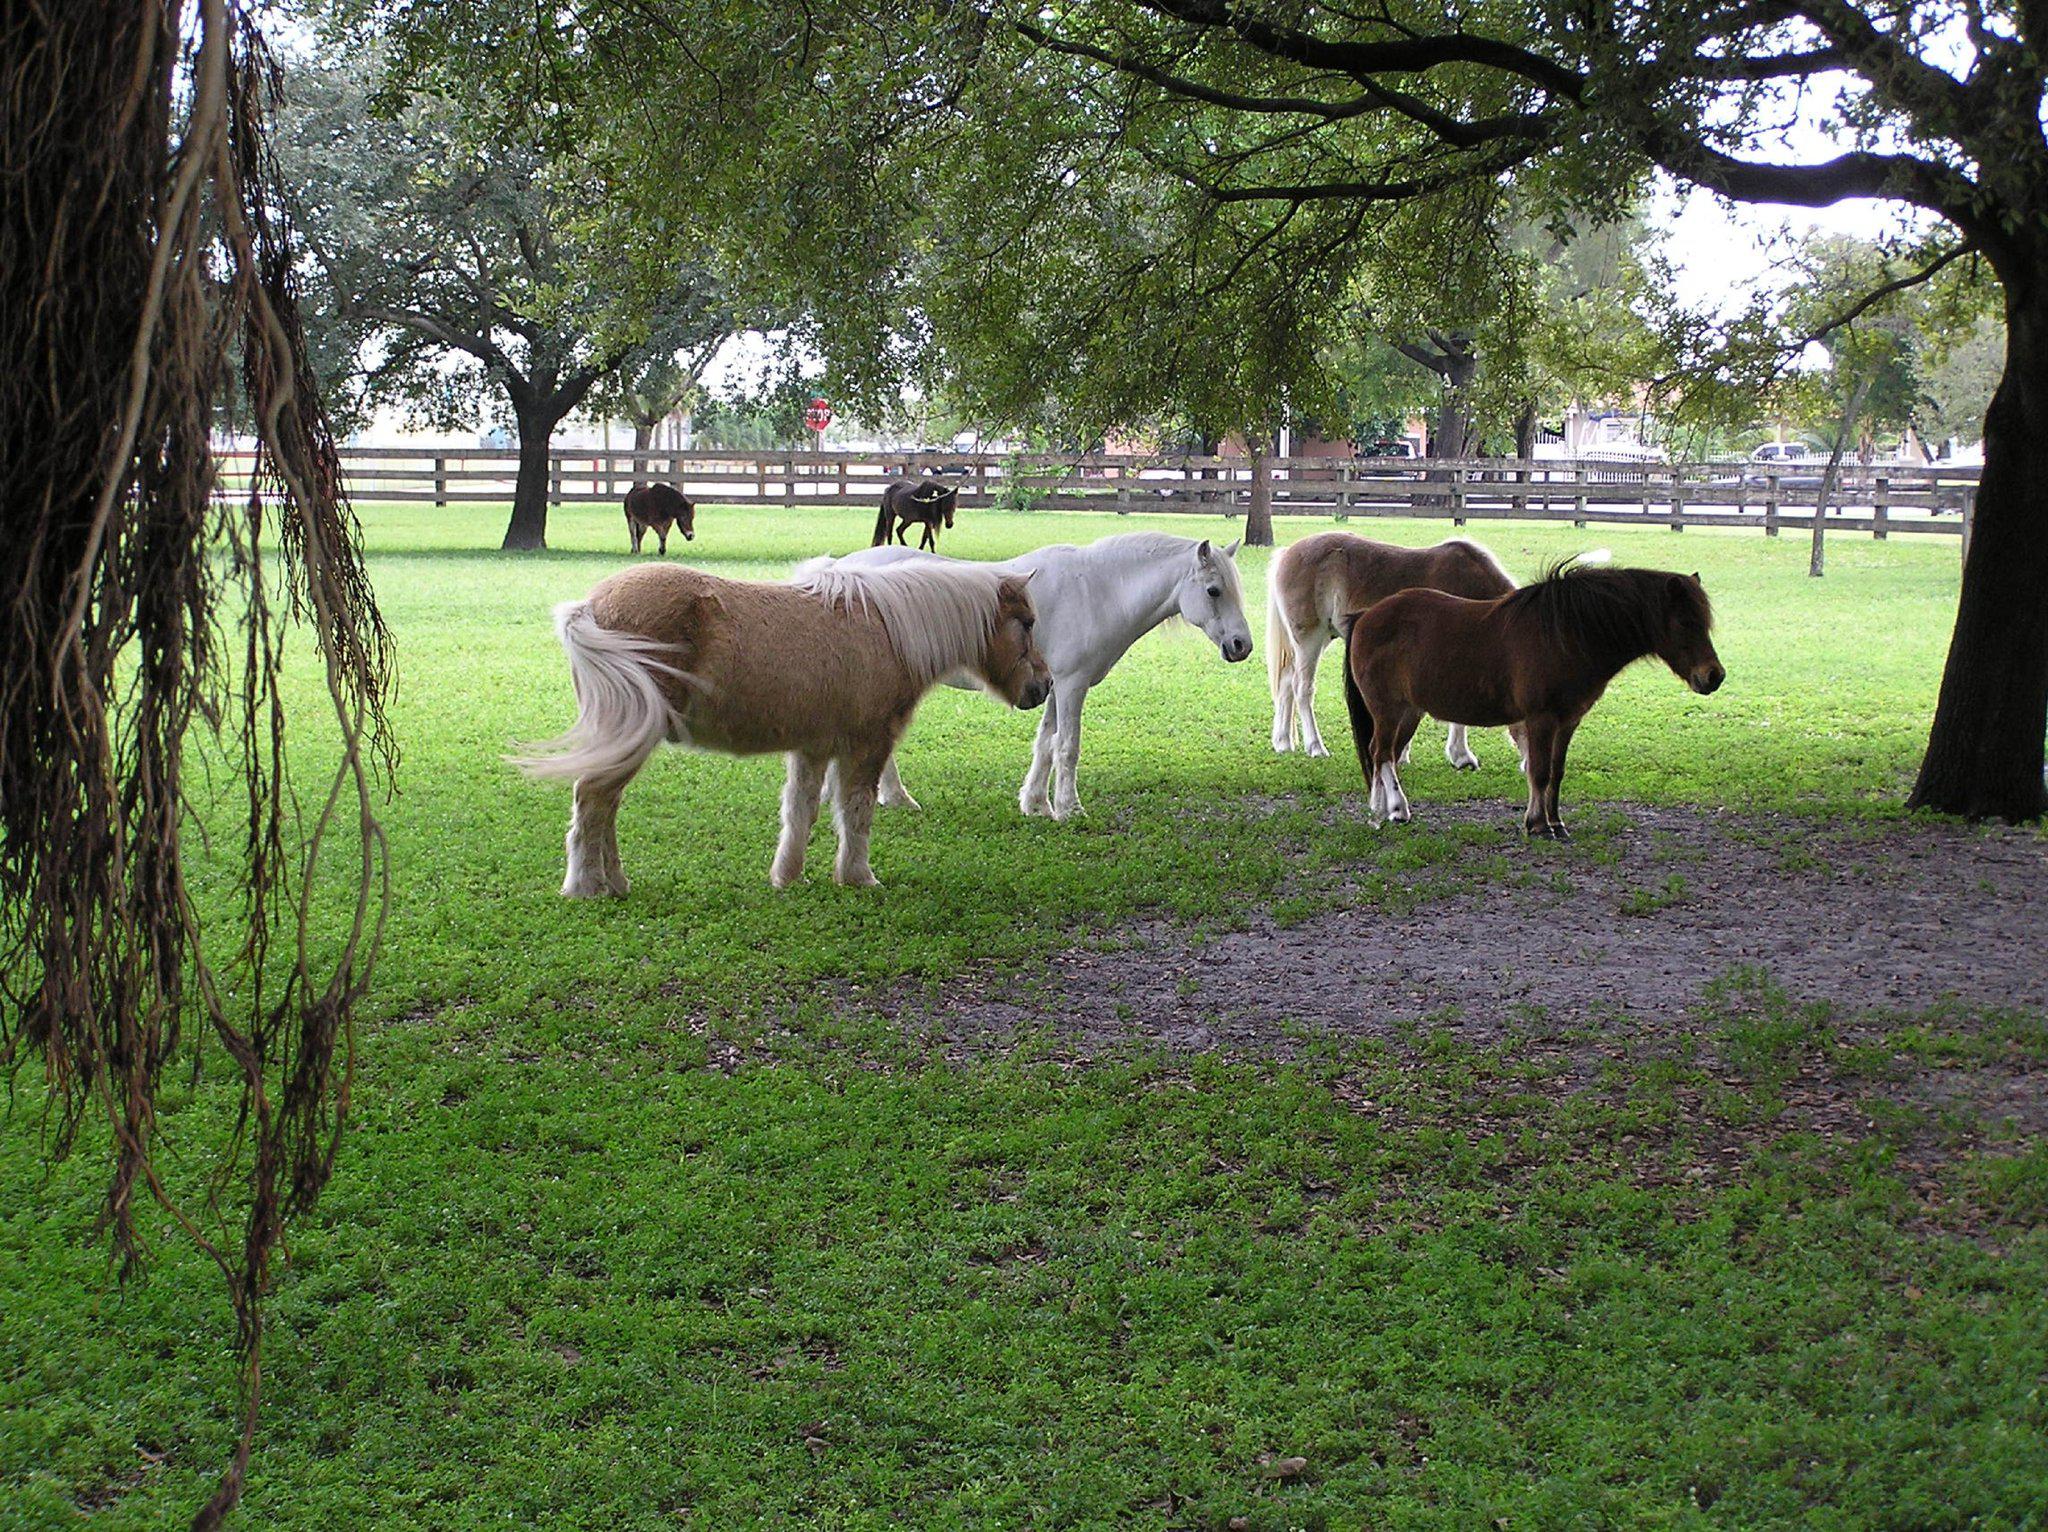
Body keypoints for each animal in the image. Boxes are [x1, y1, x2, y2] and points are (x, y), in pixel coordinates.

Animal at [512, 561, 1056, 897]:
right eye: (1027, 622)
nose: (1044, 686)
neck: (888, 630)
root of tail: (589, 608)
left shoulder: (812, 749)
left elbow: (801, 812)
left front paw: (788, 877)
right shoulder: (866, 747)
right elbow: (856, 811)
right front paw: (858, 876)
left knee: (604, 807)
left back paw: (615, 884)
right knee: (594, 801)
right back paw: (587, 887)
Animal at [806, 528, 1253, 819]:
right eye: (1214, 590)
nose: (1241, 645)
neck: (1097, 591)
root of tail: (838, 572)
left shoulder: (1053, 687)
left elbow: (1045, 744)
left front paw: (1037, 804)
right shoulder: (1072, 686)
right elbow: (1068, 747)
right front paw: (1070, 809)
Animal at [1261, 532, 1523, 766]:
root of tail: (1288, 554)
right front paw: (1461, 756)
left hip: (1319, 639)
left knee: (1286, 682)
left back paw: (1283, 742)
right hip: (1310, 640)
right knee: (1302, 688)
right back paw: (1315, 746)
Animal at [1335, 565, 1720, 839]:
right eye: (1685, 622)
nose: (1714, 676)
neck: (1567, 634)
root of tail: (1367, 615)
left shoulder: (1567, 722)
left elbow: (1556, 772)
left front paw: (1556, 822)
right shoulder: (1540, 719)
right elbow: (1538, 771)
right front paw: (1537, 824)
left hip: (1408, 712)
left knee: (1381, 754)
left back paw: (1383, 809)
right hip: (1388, 710)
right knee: (1382, 753)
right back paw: (1397, 810)